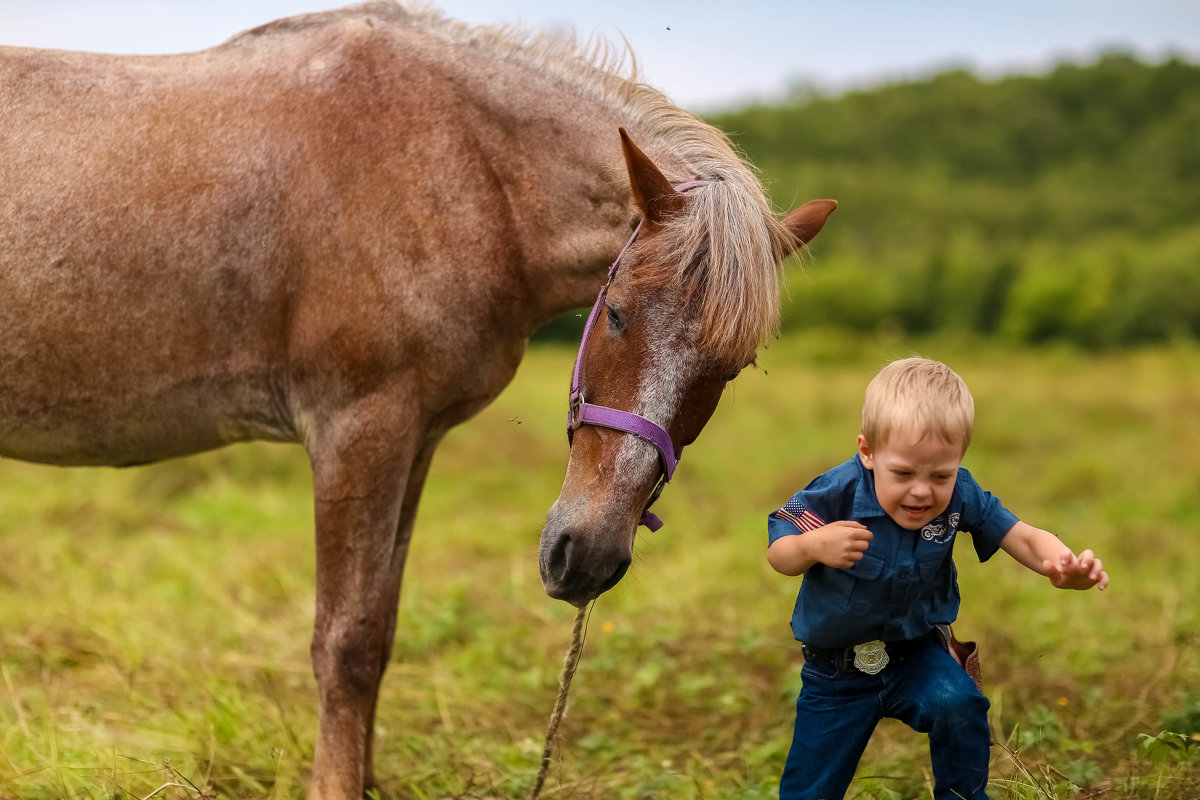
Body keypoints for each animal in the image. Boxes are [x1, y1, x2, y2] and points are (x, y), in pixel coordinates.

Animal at [0, 3, 835, 796]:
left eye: (733, 366)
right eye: (619, 313)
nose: (588, 557)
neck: (460, 163)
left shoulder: (415, 440)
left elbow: (384, 625)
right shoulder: (359, 431)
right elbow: (347, 637)